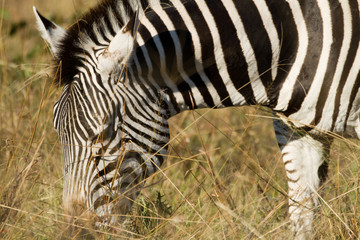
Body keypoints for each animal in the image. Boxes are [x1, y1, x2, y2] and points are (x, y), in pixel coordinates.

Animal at [33, 0, 358, 238]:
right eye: (57, 131)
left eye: (102, 134)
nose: (76, 233)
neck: (287, 39)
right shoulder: (299, 132)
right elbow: (302, 215)